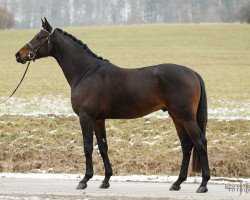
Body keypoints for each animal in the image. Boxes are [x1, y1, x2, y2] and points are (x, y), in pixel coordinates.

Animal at [15, 18, 210, 192]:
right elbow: (102, 147)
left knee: (200, 142)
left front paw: (84, 180)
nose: (19, 55)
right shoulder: (98, 119)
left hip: (186, 117)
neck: (86, 73)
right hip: (177, 117)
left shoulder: (86, 118)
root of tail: (192, 73)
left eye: (40, 37)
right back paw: (177, 183)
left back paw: (203, 184)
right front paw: (106, 180)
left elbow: (87, 147)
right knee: (186, 145)